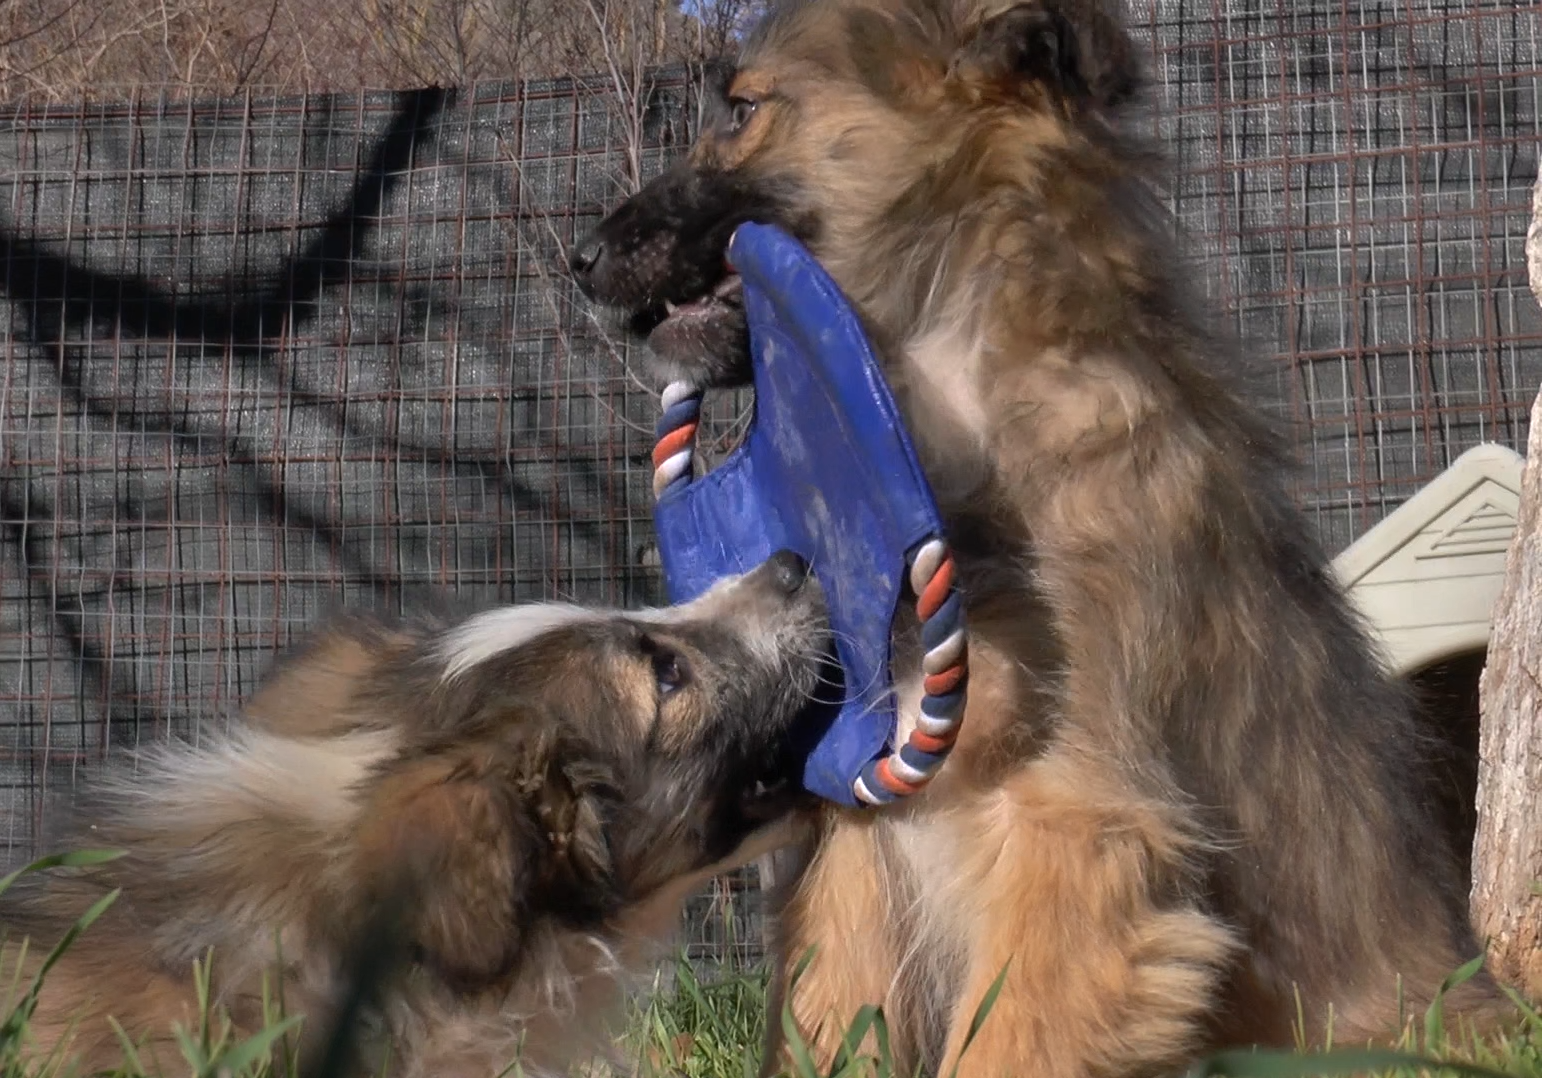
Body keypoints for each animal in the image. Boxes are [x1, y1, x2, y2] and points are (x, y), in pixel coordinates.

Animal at [569, 1, 1511, 1074]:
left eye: (741, 109)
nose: (580, 259)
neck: (953, 414)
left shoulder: (1072, 820)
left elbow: (1009, 1039)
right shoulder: (860, 824)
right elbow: (831, 1010)